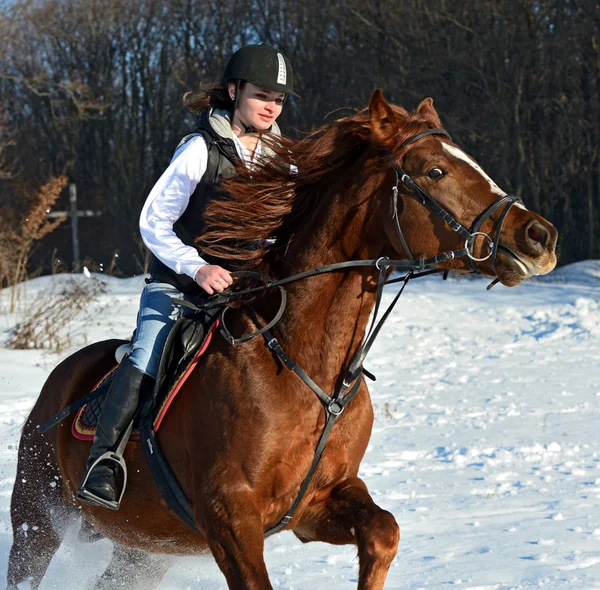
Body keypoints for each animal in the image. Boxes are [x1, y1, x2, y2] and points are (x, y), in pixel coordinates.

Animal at [7, 90, 556, 588]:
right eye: (435, 171)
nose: (540, 237)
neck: (307, 366)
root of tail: (61, 378)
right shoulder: (228, 516)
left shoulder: (316, 504)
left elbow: (384, 531)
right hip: (38, 519)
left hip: (144, 550)